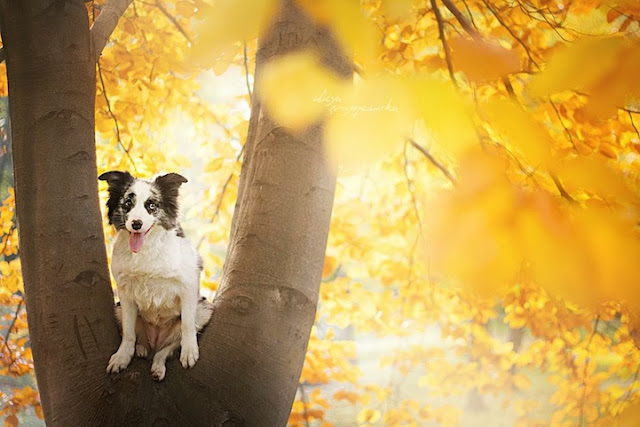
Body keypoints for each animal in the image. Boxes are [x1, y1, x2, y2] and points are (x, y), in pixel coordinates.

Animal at [98, 171, 212, 382]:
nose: (136, 224)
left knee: (165, 350)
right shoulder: (124, 293)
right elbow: (128, 333)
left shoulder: (189, 284)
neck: (145, 249)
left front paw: (190, 352)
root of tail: (155, 341)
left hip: (205, 309)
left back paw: (158, 366)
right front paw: (122, 357)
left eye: (151, 205)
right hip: (118, 308)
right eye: (127, 203)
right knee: (143, 341)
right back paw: (142, 349)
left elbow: (187, 325)